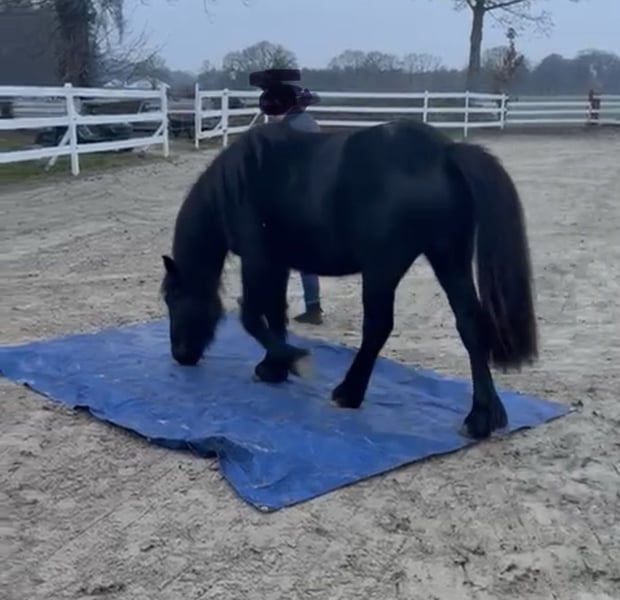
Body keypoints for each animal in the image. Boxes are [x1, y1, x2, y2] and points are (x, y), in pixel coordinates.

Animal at [160, 118, 538, 440]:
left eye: (172, 298)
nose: (180, 354)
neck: (242, 179)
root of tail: (444, 153)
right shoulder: (278, 263)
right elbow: (276, 314)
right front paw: (274, 368)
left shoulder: (257, 259)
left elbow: (252, 317)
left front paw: (294, 361)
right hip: (448, 258)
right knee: (469, 323)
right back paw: (482, 417)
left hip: (383, 268)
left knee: (378, 326)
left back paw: (348, 393)